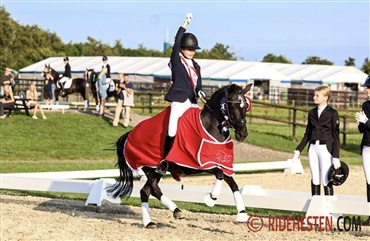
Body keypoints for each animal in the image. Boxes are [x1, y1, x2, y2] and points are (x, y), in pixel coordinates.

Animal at [106, 83, 251, 228]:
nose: (242, 134)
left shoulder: (222, 164)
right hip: (148, 167)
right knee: (153, 189)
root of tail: (129, 134)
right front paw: (211, 198)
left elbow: (234, 184)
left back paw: (151, 221)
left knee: (146, 191)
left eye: (246, 106)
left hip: (155, 171)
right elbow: (220, 175)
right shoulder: (199, 165)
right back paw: (174, 212)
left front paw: (242, 214)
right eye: (233, 106)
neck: (210, 128)